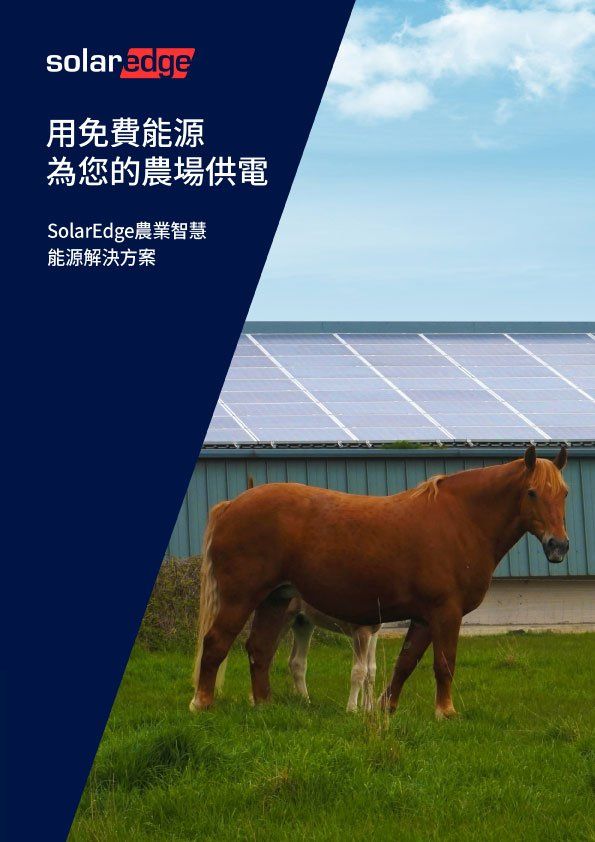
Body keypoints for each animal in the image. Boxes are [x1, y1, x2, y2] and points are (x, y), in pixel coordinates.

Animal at [190, 446, 569, 719]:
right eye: (532, 493)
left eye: (564, 493)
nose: (558, 546)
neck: (461, 519)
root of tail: (231, 505)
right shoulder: (446, 613)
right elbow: (444, 664)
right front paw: (445, 712)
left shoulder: (424, 617)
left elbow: (405, 663)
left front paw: (386, 708)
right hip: (241, 598)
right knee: (216, 643)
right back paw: (202, 703)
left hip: (276, 599)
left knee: (259, 649)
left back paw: (264, 705)